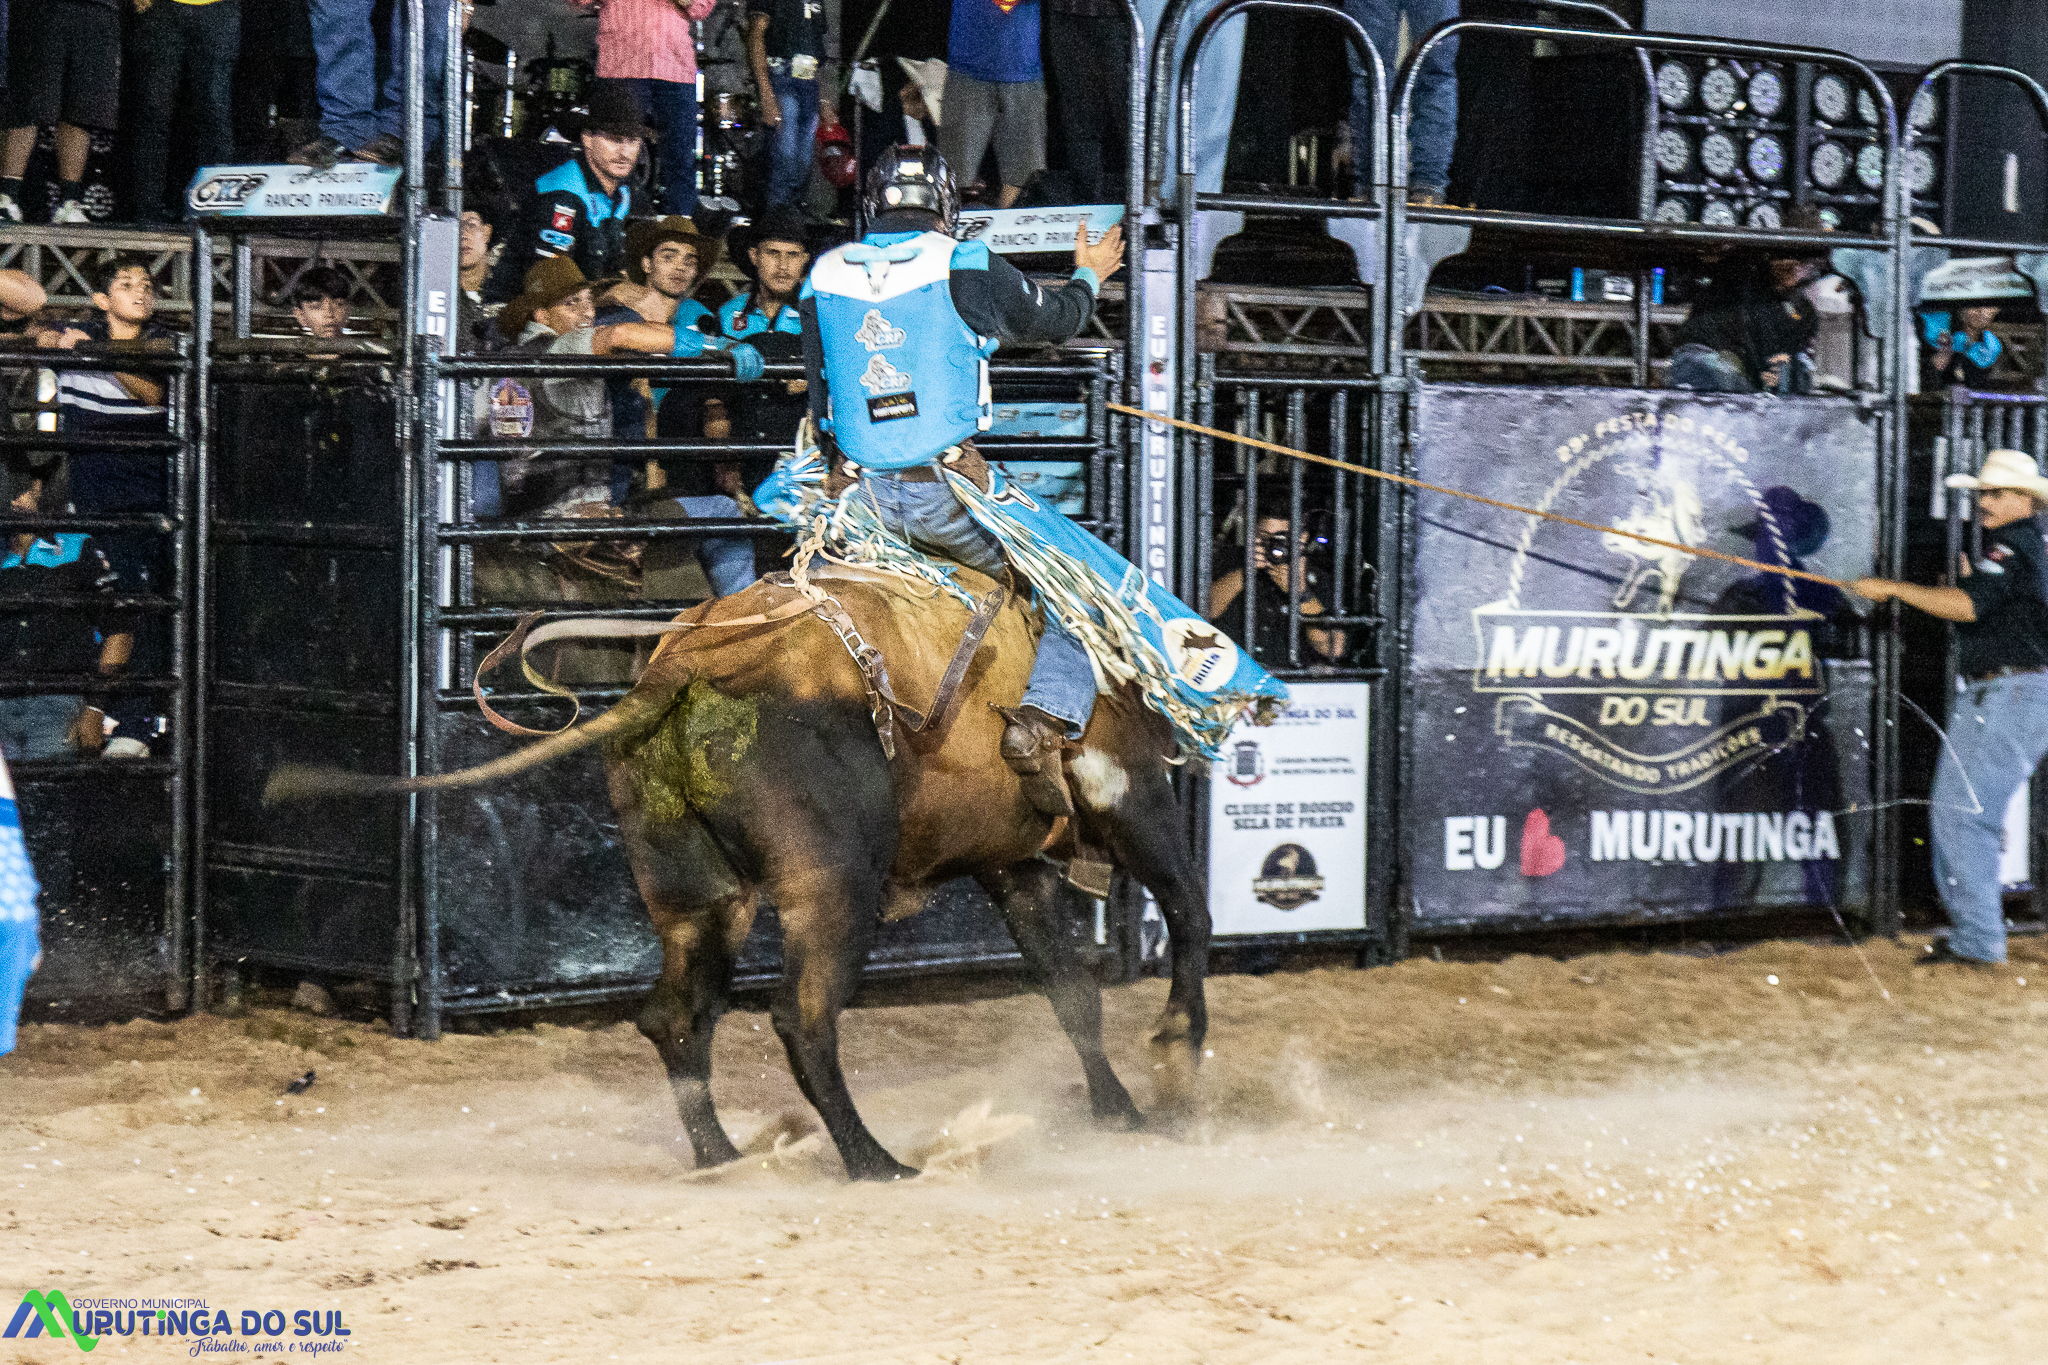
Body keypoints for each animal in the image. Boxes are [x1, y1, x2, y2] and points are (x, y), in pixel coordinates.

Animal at [267, 564, 1213, 1181]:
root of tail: (687, 669)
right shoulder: (1131, 794)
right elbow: (1187, 912)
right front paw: (1174, 1050)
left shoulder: (1012, 863)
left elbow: (1071, 990)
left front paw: (1119, 1107)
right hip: (832, 885)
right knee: (801, 1017)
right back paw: (874, 1161)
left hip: (697, 896)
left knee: (675, 1014)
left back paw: (719, 1154)